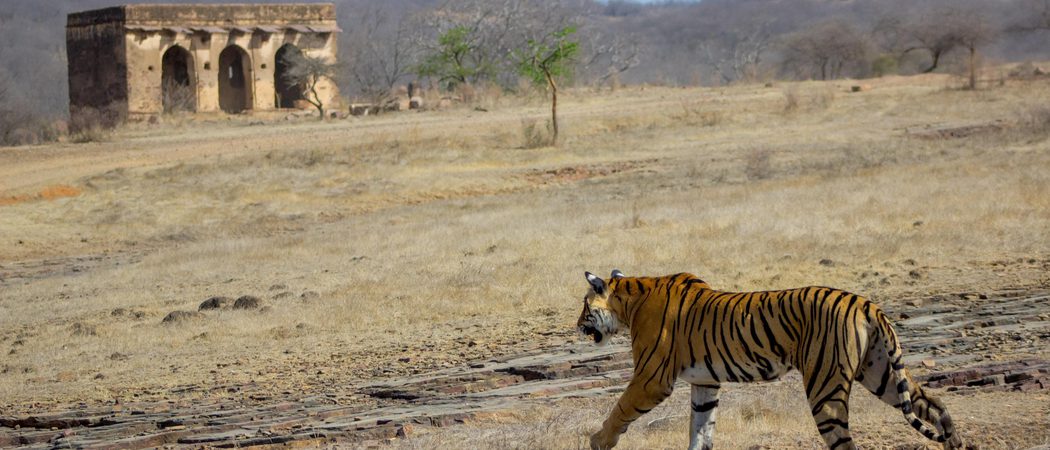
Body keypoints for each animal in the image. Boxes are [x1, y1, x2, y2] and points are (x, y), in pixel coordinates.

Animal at [576, 270, 961, 450]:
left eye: (583, 305)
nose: (577, 325)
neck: (630, 302)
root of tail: (867, 303)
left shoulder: (651, 378)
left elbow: (620, 410)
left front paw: (598, 440)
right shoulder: (705, 382)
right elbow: (701, 430)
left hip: (825, 387)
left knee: (846, 442)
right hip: (880, 373)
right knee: (936, 407)